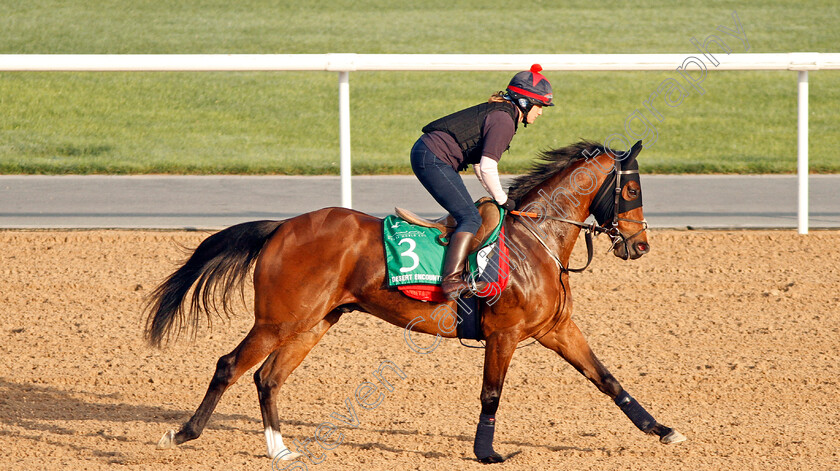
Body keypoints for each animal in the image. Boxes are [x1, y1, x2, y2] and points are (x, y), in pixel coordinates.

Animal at [146, 139, 684, 464]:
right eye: (630, 188)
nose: (640, 245)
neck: (537, 240)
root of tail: (282, 226)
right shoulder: (505, 333)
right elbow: (491, 394)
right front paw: (487, 453)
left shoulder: (556, 328)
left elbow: (607, 380)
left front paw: (662, 430)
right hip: (279, 319)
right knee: (229, 365)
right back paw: (183, 433)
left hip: (316, 321)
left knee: (267, 377)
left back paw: (280, 451)